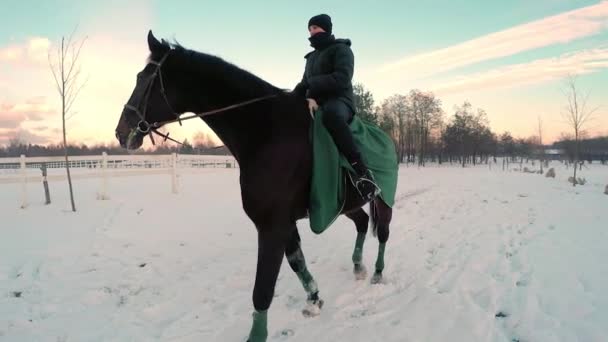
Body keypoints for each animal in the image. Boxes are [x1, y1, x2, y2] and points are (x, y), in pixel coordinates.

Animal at [115, 30, 394, 340]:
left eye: (144, 78)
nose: (121, 132)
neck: (266, 132)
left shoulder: (271, 226)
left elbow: (262, 290)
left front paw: (257, 333)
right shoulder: (284, 223)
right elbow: (297, 262)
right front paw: (313, 299)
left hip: (384, 200)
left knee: (382, 233)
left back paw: (377, 273)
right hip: (345, 204)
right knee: (362, 222)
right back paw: (358, 267)